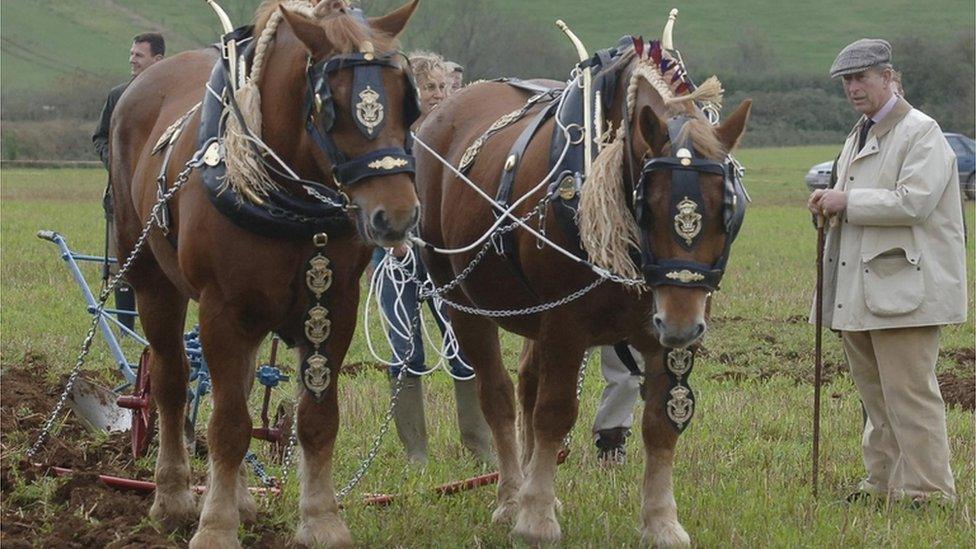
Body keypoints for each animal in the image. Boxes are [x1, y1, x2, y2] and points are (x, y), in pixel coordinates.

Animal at [111, 2, 424, 544]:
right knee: (172, 383)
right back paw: (173, 498)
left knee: (237, 384)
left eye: (408, 101)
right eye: (330, 105)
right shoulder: (220, 309)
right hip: (154, 283)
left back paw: (238, 499)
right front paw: (215, 528)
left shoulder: (332, 307)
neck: (290, 201)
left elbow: (315, 418)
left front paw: (321, 522)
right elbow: (227, 425)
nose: (398, 215)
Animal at [416, 34, 752, 544]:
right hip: (462, 303)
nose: (680, 325)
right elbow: (555, 412)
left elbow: (662, 422)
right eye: (647, 205)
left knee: (527, 386)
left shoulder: (663, 335)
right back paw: (511, 497)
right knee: (499, 396)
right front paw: (535, 519)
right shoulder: (566, 325)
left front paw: (660, 521)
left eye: (727, 210)